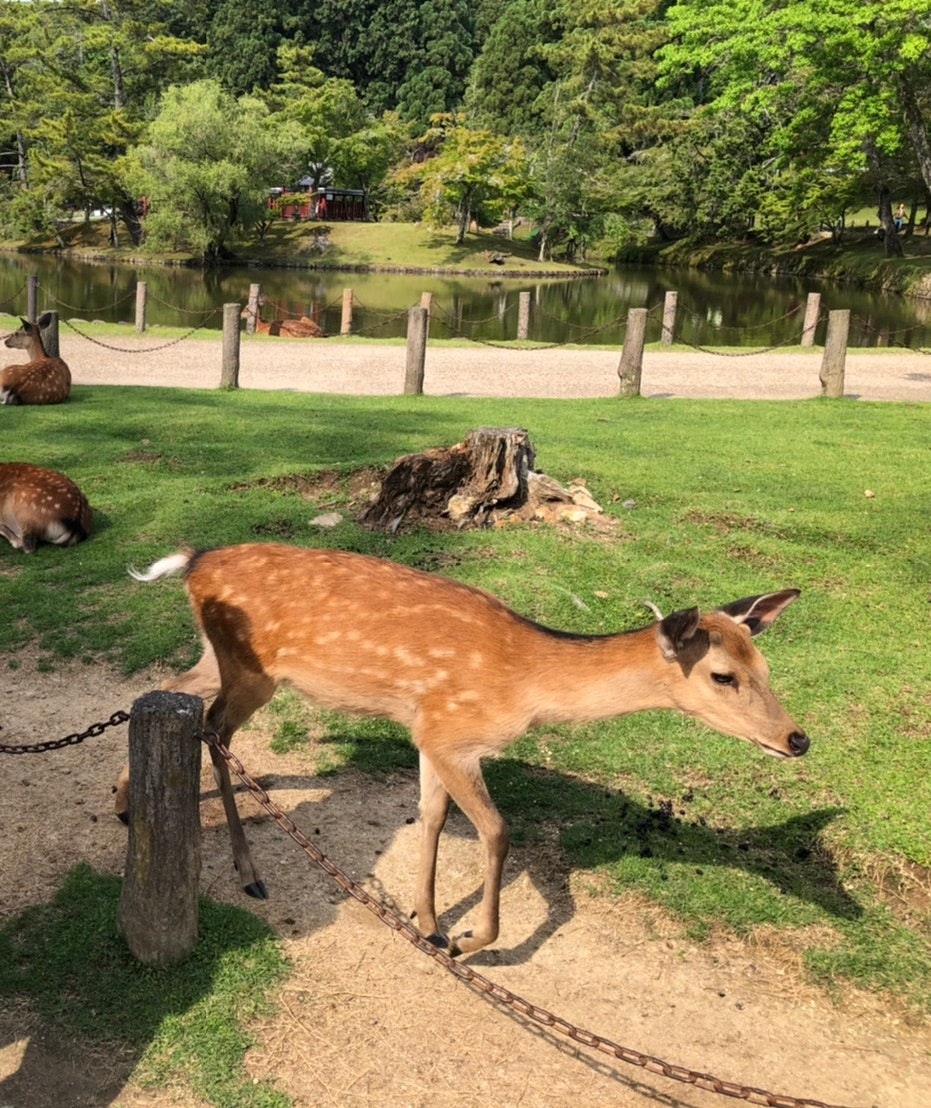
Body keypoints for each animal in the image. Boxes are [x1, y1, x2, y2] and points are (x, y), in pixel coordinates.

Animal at [123, 542, 809, 956]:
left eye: (766, 665)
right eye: (723, 675)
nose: (797, 739)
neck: (524, 684)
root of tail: (193, 562)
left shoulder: (430, 730)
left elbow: (430, 816)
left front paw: (426, 925)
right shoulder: (453, 732)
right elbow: (498, 830)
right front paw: (470, 939)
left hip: (222, 658)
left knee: (168, 691)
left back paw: (128, 806)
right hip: (251, 670)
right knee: (216, 728)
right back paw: (248, 872)